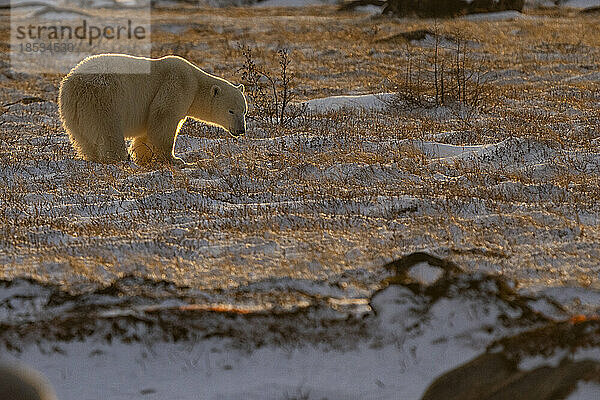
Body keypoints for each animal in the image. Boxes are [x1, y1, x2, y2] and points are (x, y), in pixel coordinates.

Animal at [58, 54, 246, 165]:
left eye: (244, 111)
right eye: (231, 111)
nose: (241, 130)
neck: (196, 82)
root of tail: (74, 85)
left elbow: (147, 130)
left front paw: (143, 156)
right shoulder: (177, 83)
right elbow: (163, 117)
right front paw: (175, 159)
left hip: (72, 113)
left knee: (84, 140)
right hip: (103, 100)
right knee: (108, 131)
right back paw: (120, 159)